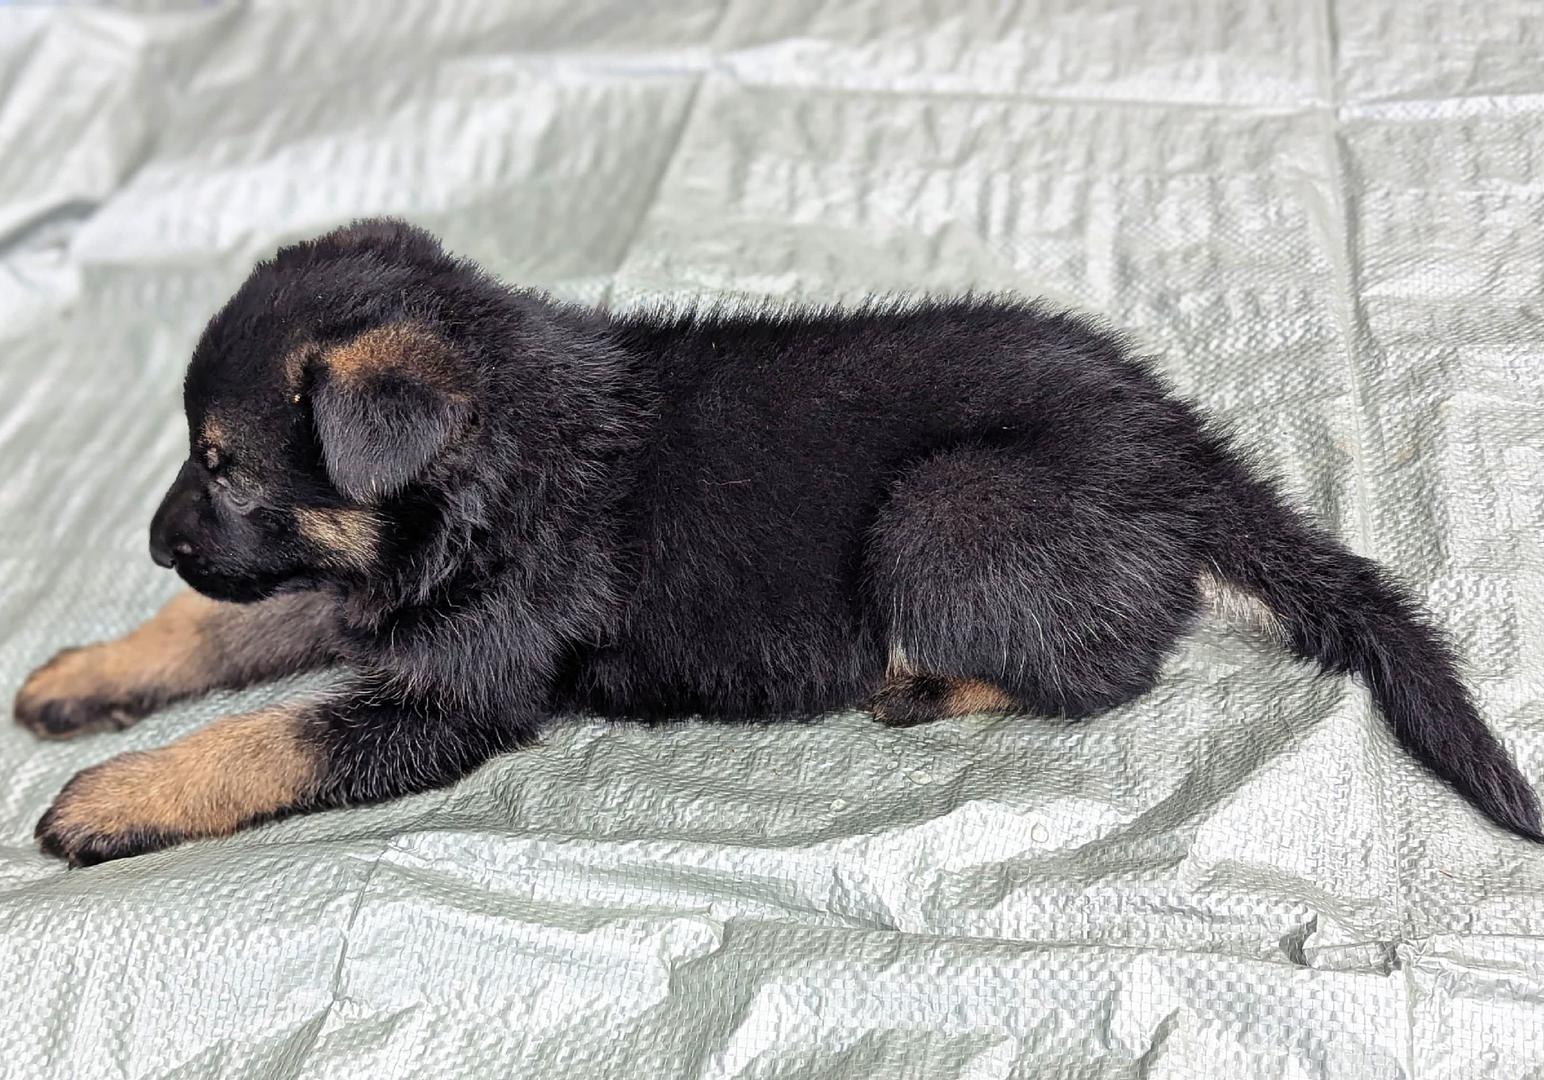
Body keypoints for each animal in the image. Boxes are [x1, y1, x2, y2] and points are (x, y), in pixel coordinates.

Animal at [15, 222, 1544, 871]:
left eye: (223, 466)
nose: (153, 538)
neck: (488, 467)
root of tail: (1178, 444)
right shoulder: (361, 592)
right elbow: (222, 626)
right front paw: (87, 675)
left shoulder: (451, 689)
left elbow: (267, 737)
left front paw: (111, 797)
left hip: (942, 515)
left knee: (1119, 657)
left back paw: (928, 682)